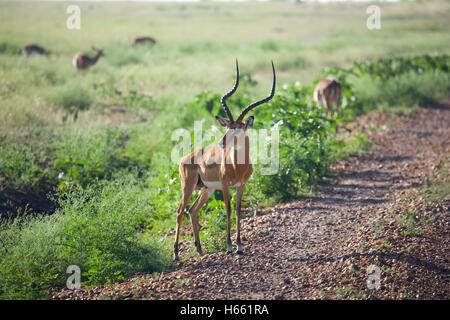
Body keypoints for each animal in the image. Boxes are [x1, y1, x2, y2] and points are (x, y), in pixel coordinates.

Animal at [173, 61, 276, 262]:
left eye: (238, 129)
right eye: (227, 127)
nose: (221, 142)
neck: (238, 167)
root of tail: (185, 157)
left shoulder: (241, 185)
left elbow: (237, 210)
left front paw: (240, 246)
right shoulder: (226, 185)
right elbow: (228, 210)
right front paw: (229, 247)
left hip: (207, 189)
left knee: (193, 211)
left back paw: (200, 250)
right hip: (188, 186)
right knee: (180, 212)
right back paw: (175, 255)